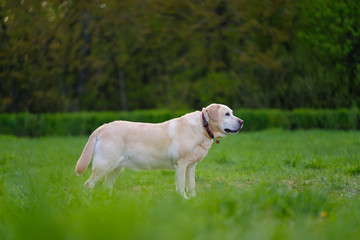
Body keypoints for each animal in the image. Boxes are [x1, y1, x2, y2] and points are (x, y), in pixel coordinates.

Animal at [76, 104, 245, 198]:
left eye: (232, 113)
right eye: (227, 114)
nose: (242, 121)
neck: (203, 127)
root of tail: (103, 126)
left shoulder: (191, 166)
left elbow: (191, 184)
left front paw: (194, 198)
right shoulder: (181, 164)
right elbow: (181, 185)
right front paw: (184, 199)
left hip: (117, 167)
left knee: (106, 186)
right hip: (105, 164)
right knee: (88, 184)